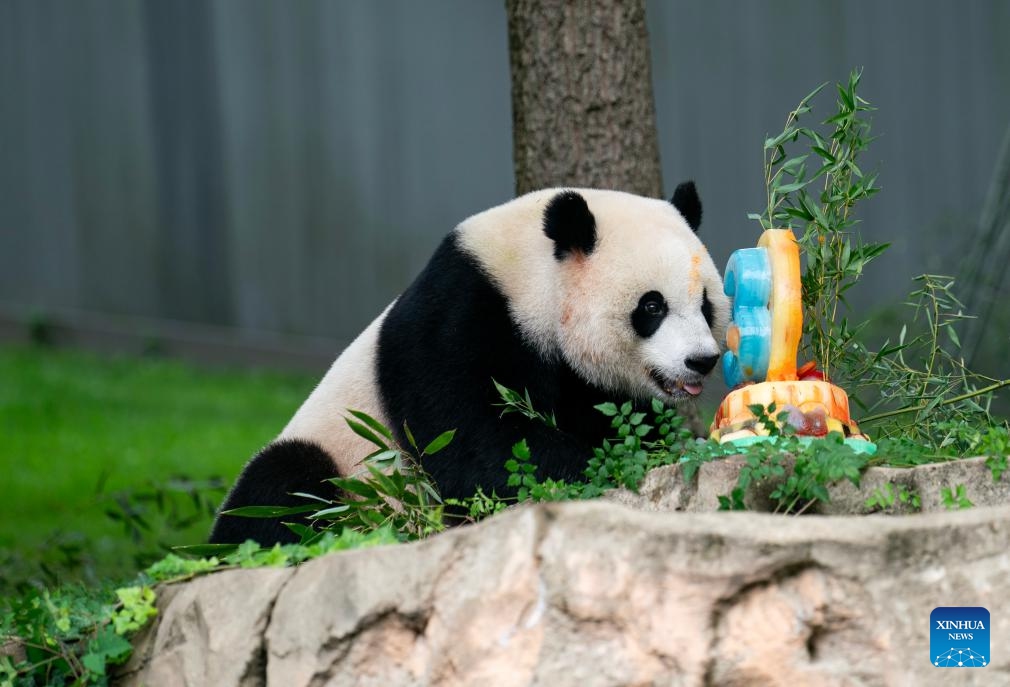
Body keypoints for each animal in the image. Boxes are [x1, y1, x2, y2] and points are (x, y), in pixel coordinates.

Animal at [211, 183, 727, 545]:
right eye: (652, 306)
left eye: (705, 305)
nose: (701, 361)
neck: (531, 275)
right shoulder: (458, 319)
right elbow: (478, 445)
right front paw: (601, 467)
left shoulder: (585, 382)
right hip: (338, 463)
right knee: (281, 491)